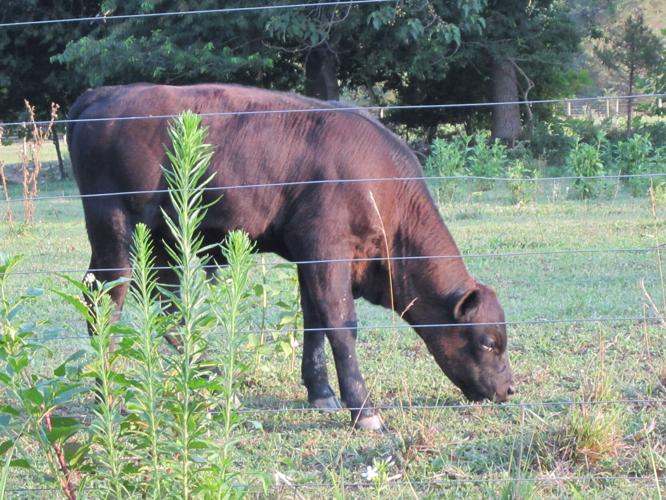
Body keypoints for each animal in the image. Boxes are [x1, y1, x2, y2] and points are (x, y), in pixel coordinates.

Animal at [67, 83, 515, 430]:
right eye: (489, 342)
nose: (510, 388)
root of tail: (105, 93)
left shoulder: (310, 257)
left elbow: (313, 320)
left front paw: (321, 392)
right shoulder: (326, 248)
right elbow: (341, 324)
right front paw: (363, 410)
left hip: (162, 237)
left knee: (169, 305)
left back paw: (210, 382)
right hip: (115, 229)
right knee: (105, 302)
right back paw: (108, 398)